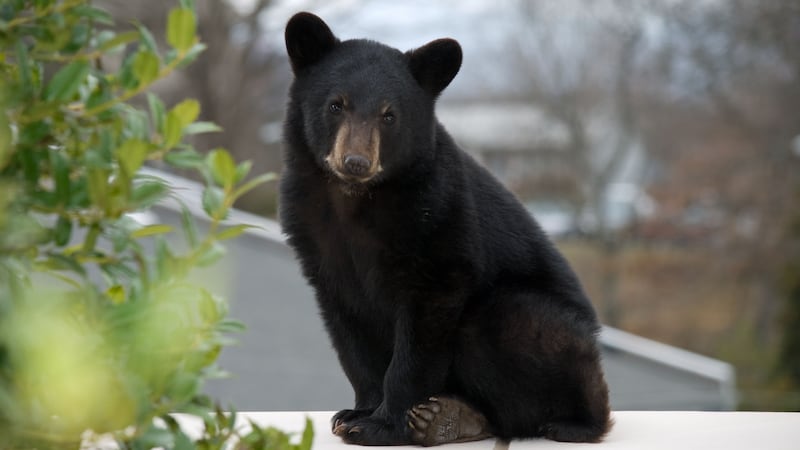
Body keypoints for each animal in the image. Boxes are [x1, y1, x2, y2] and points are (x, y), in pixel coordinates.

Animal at [279, 12, 612, 446]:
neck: (356, 199)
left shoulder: (438, 216)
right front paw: (355, 412)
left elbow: (423, 327)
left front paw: (380, 424)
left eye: (389, 115)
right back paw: (448, 417)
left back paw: (571, 422)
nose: (355, 162)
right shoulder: (315, 238)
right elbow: (351, 334)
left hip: (532, 324)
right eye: (336, 105)